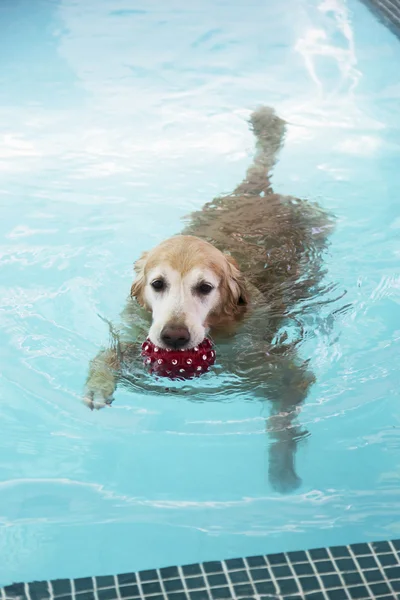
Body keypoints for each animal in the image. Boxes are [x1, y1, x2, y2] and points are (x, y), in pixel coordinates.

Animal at [84, 106, 332, 492]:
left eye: (205, 288)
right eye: (158, 284)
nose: (173, 337)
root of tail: (256, 192)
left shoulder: (287, 373)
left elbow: (281, 420)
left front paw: (281, 469)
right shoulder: (134, 331)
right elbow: (106, 353)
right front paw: (97, 386)